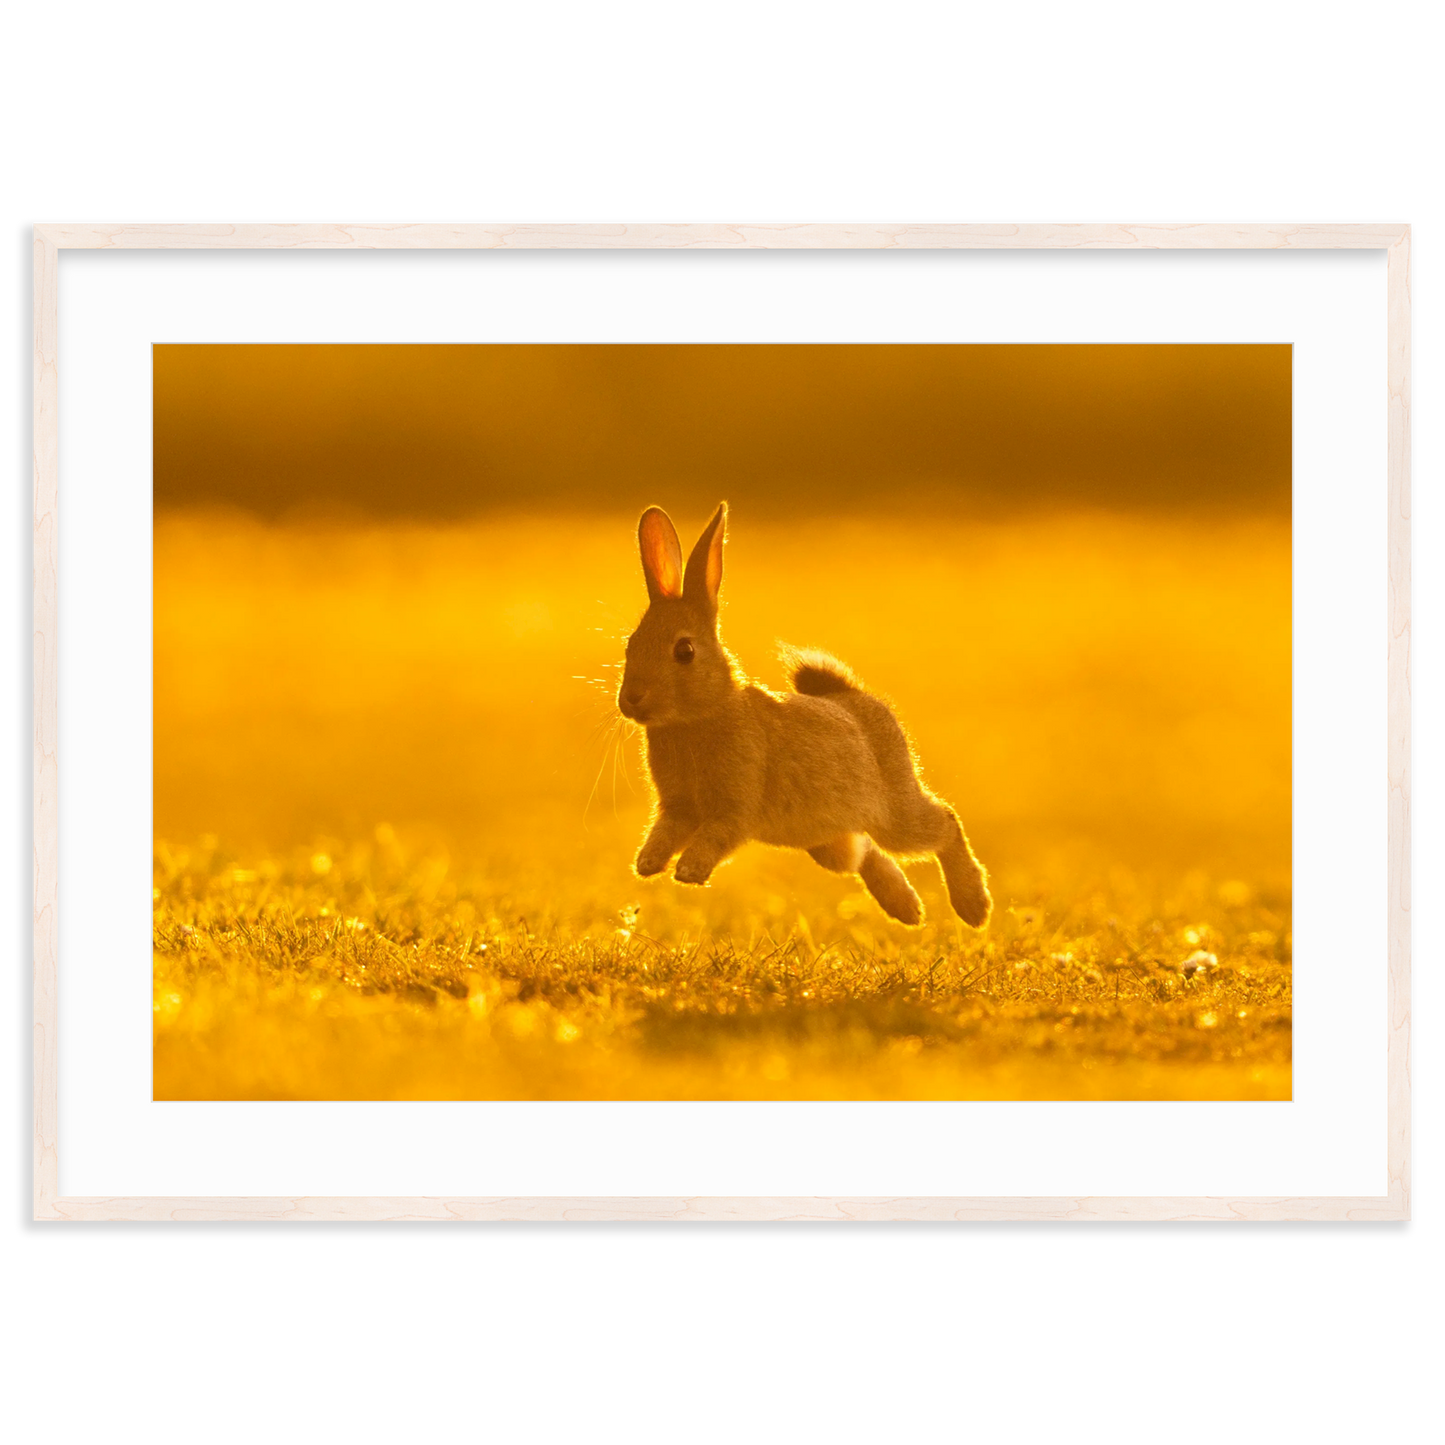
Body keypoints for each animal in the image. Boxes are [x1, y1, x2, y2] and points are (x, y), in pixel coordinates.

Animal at [616, 502, 992, 928]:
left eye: (684, 651)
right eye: (631, 644)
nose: (631, 700)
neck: (699, 716)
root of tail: (853, 696)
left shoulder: (734, 807)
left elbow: (717, 835)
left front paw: (689, 871)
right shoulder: (677, 808)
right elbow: (665, 832)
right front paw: (647, 864)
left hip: (894, 814)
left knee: (944, 823)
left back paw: (973, 907)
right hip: (828, 841)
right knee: (864, 852)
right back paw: (908, 910)